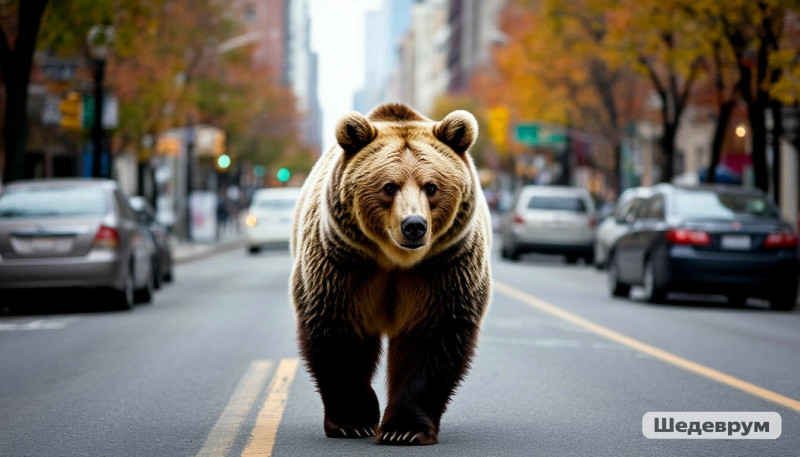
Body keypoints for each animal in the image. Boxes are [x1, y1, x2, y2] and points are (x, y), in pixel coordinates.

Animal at [289, 102, 492, 445]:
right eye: (388, 186)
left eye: (431, 186)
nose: (414, 225)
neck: (396, 259)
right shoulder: (342, 264)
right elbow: (337, 330)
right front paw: (353, 421)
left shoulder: (444, 268)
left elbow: (433, 337)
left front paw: (404, 429)